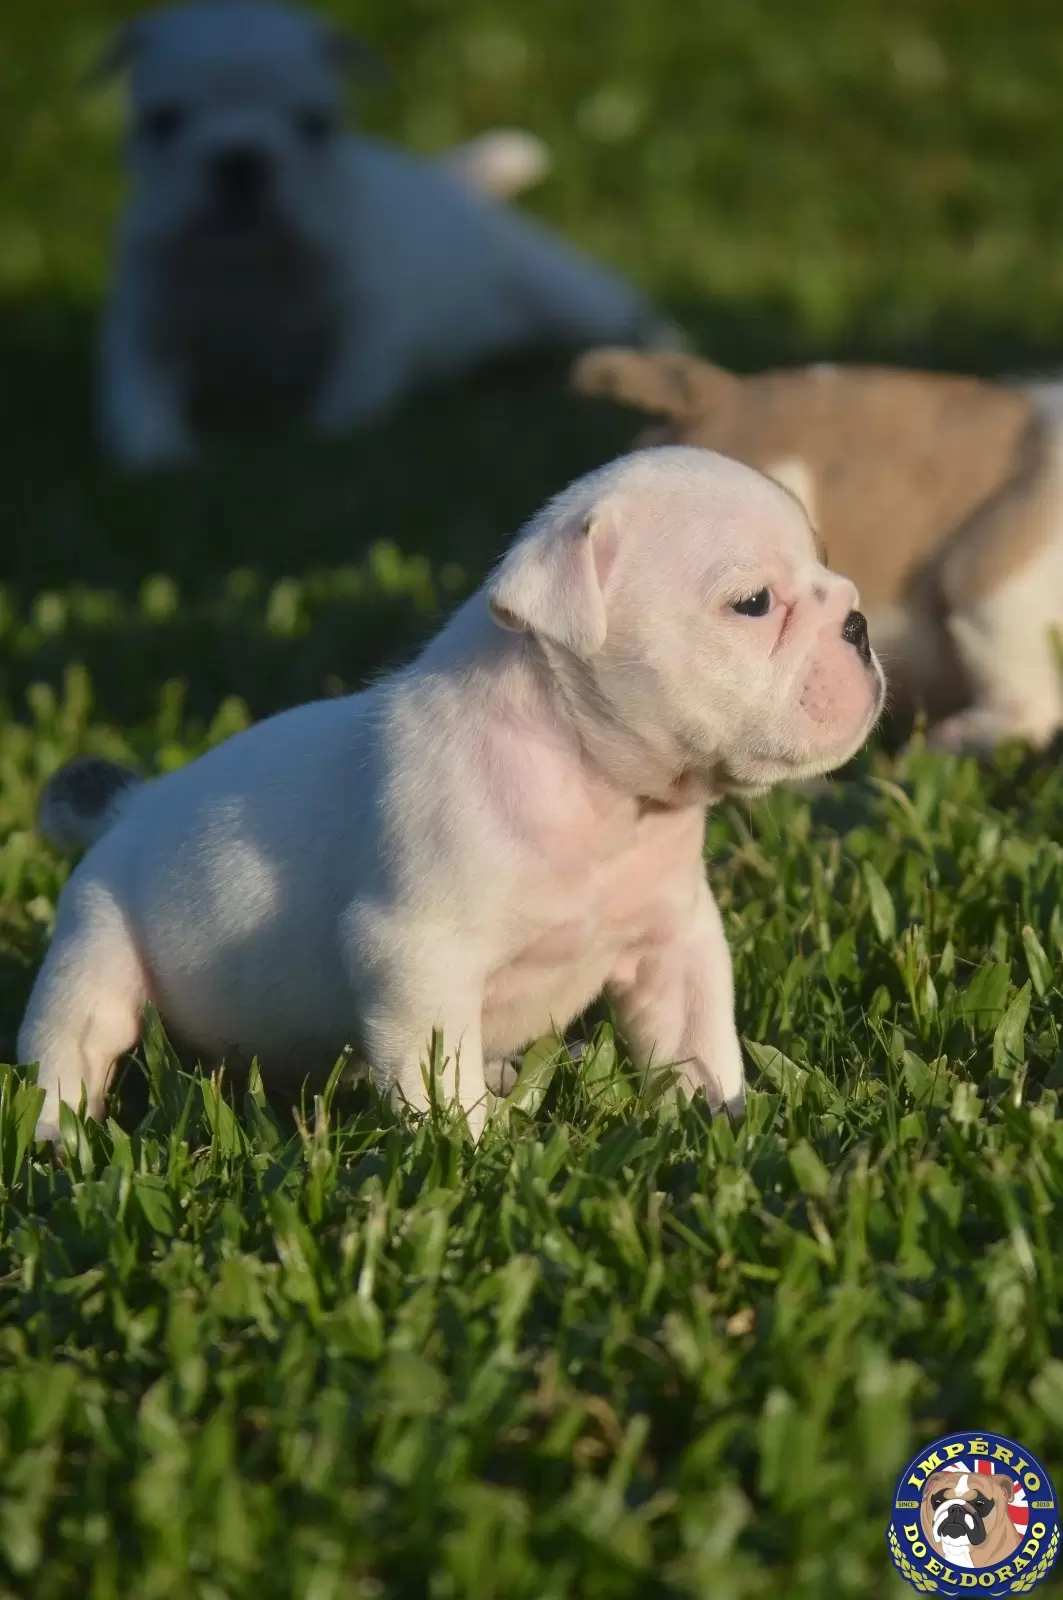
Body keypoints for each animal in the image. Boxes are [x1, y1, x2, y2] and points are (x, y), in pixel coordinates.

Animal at [20, 444, 883, 1145]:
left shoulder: (672, 941)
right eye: (752, 604)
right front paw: (469, 1156)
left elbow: (697, 1039)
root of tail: (134, 807)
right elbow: (439, 1083)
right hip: (96, 944)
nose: (859, 623)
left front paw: (721, 1119)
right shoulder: (416, 957)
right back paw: (55, 1140)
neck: (593, 785)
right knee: (71, 1045)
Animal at [93, 0, 672, 467]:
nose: (240, 160)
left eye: (316, 123)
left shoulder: (371, 315)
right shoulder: (144, 321)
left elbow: (352, 383)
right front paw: (157, 454)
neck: (250, 267)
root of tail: (451, 183)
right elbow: (139, 391)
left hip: (561, 292)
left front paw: (326, 436)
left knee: (621, 311)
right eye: (161, 121)